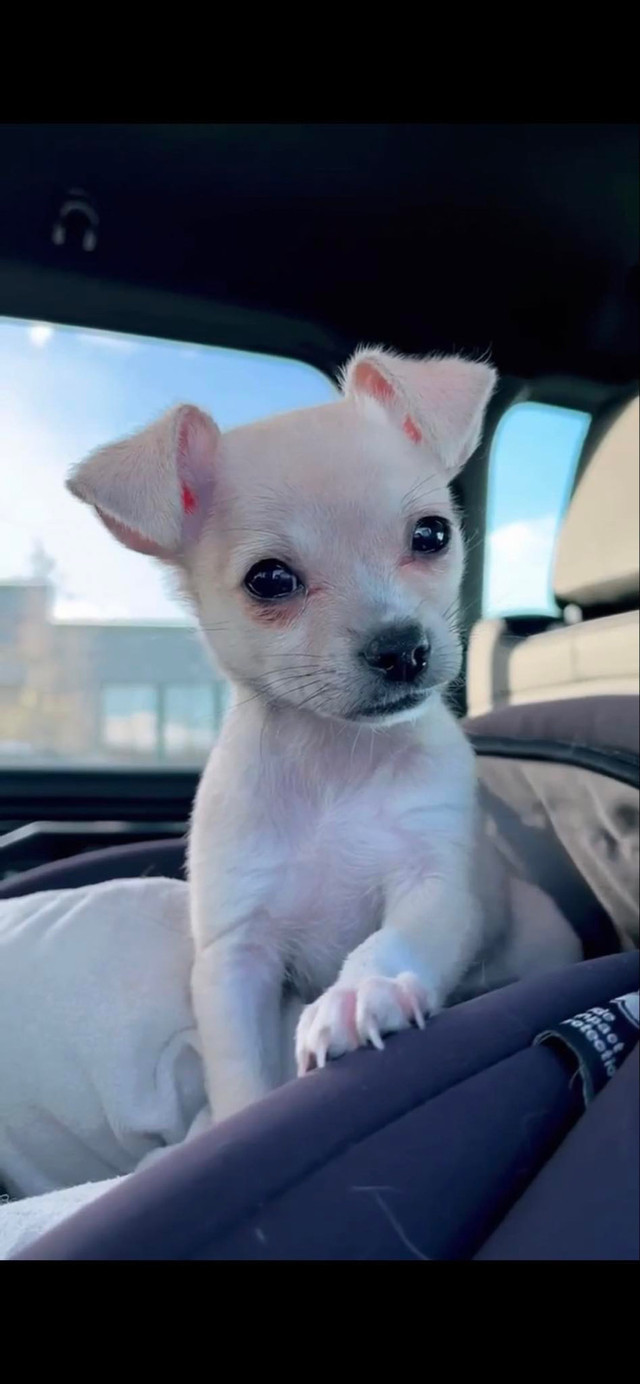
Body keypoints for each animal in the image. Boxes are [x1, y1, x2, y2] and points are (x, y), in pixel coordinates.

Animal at [68, 346, 579, 1123]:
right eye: (270, 580)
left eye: (432, 534)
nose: (402, 649)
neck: (336, 764)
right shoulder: (234, 961)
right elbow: (241, 1074)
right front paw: (240, 1120)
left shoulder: (436, 889)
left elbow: (394, 940)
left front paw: (360, 992)